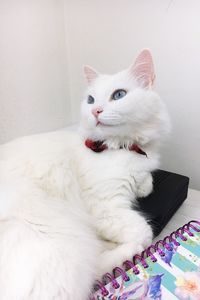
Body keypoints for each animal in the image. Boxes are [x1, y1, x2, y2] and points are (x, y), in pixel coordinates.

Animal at [0, 49, 170, 298]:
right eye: (90, 100)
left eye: (119, 95)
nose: (95, 110)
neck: (121, 146)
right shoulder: (105, 207)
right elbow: (144, 230)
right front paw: (139, 241)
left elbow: (147, 182)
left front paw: (144, 186)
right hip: (59, 241)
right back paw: (124, 252)